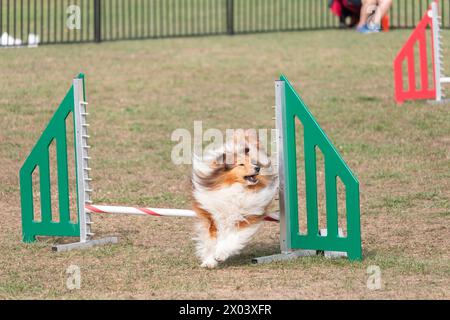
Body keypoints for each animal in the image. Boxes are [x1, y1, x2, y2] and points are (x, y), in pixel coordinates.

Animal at [191, 129, 276, 268]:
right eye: (241, 164)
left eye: (252, 162)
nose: (257, 168)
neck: (234, 188)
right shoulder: (212, 217)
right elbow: (210, 241)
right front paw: (209, 261)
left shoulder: (246, 218)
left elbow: (232, 238)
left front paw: (220, 255)